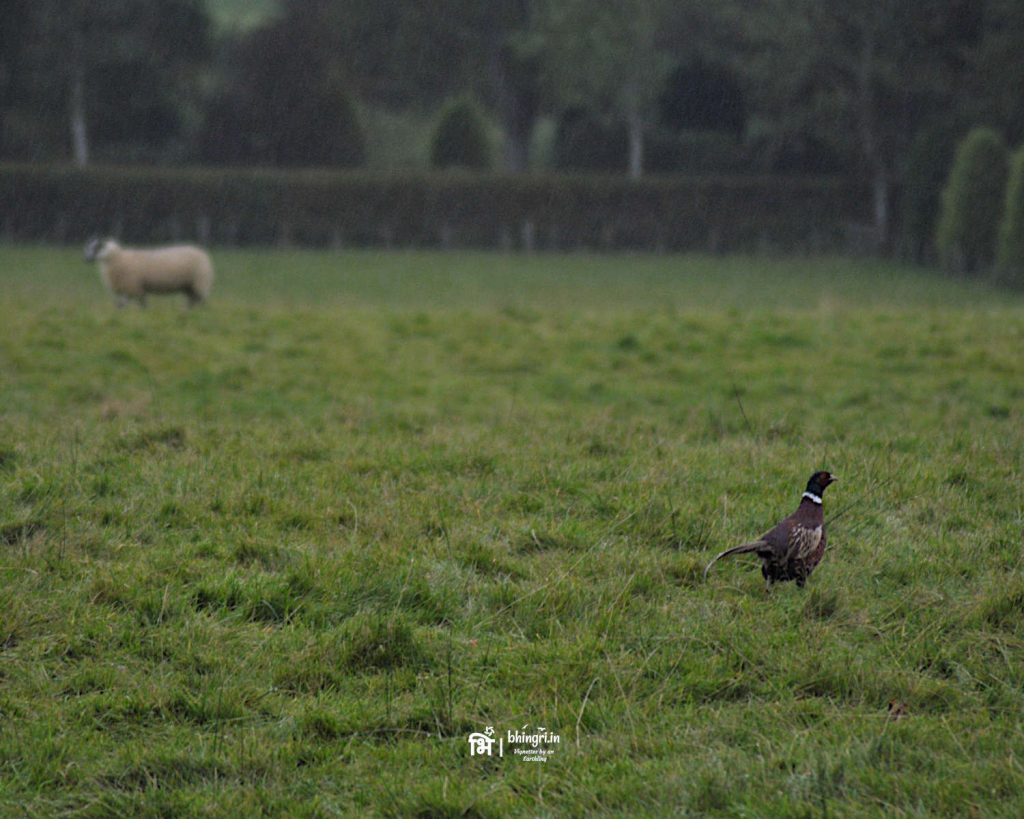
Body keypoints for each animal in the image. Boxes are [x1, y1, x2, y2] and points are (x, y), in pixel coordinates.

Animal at [83, 236, 214, 307]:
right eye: (88, 247)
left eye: (97, 247)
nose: (86, 258)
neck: (116, 258)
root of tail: (203, 254)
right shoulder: (132, 289)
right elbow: (121, 306)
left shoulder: (134, 287)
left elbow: (141, 305)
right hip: (189, 286)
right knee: (192, 302)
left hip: (200, 282)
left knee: (201, 301)